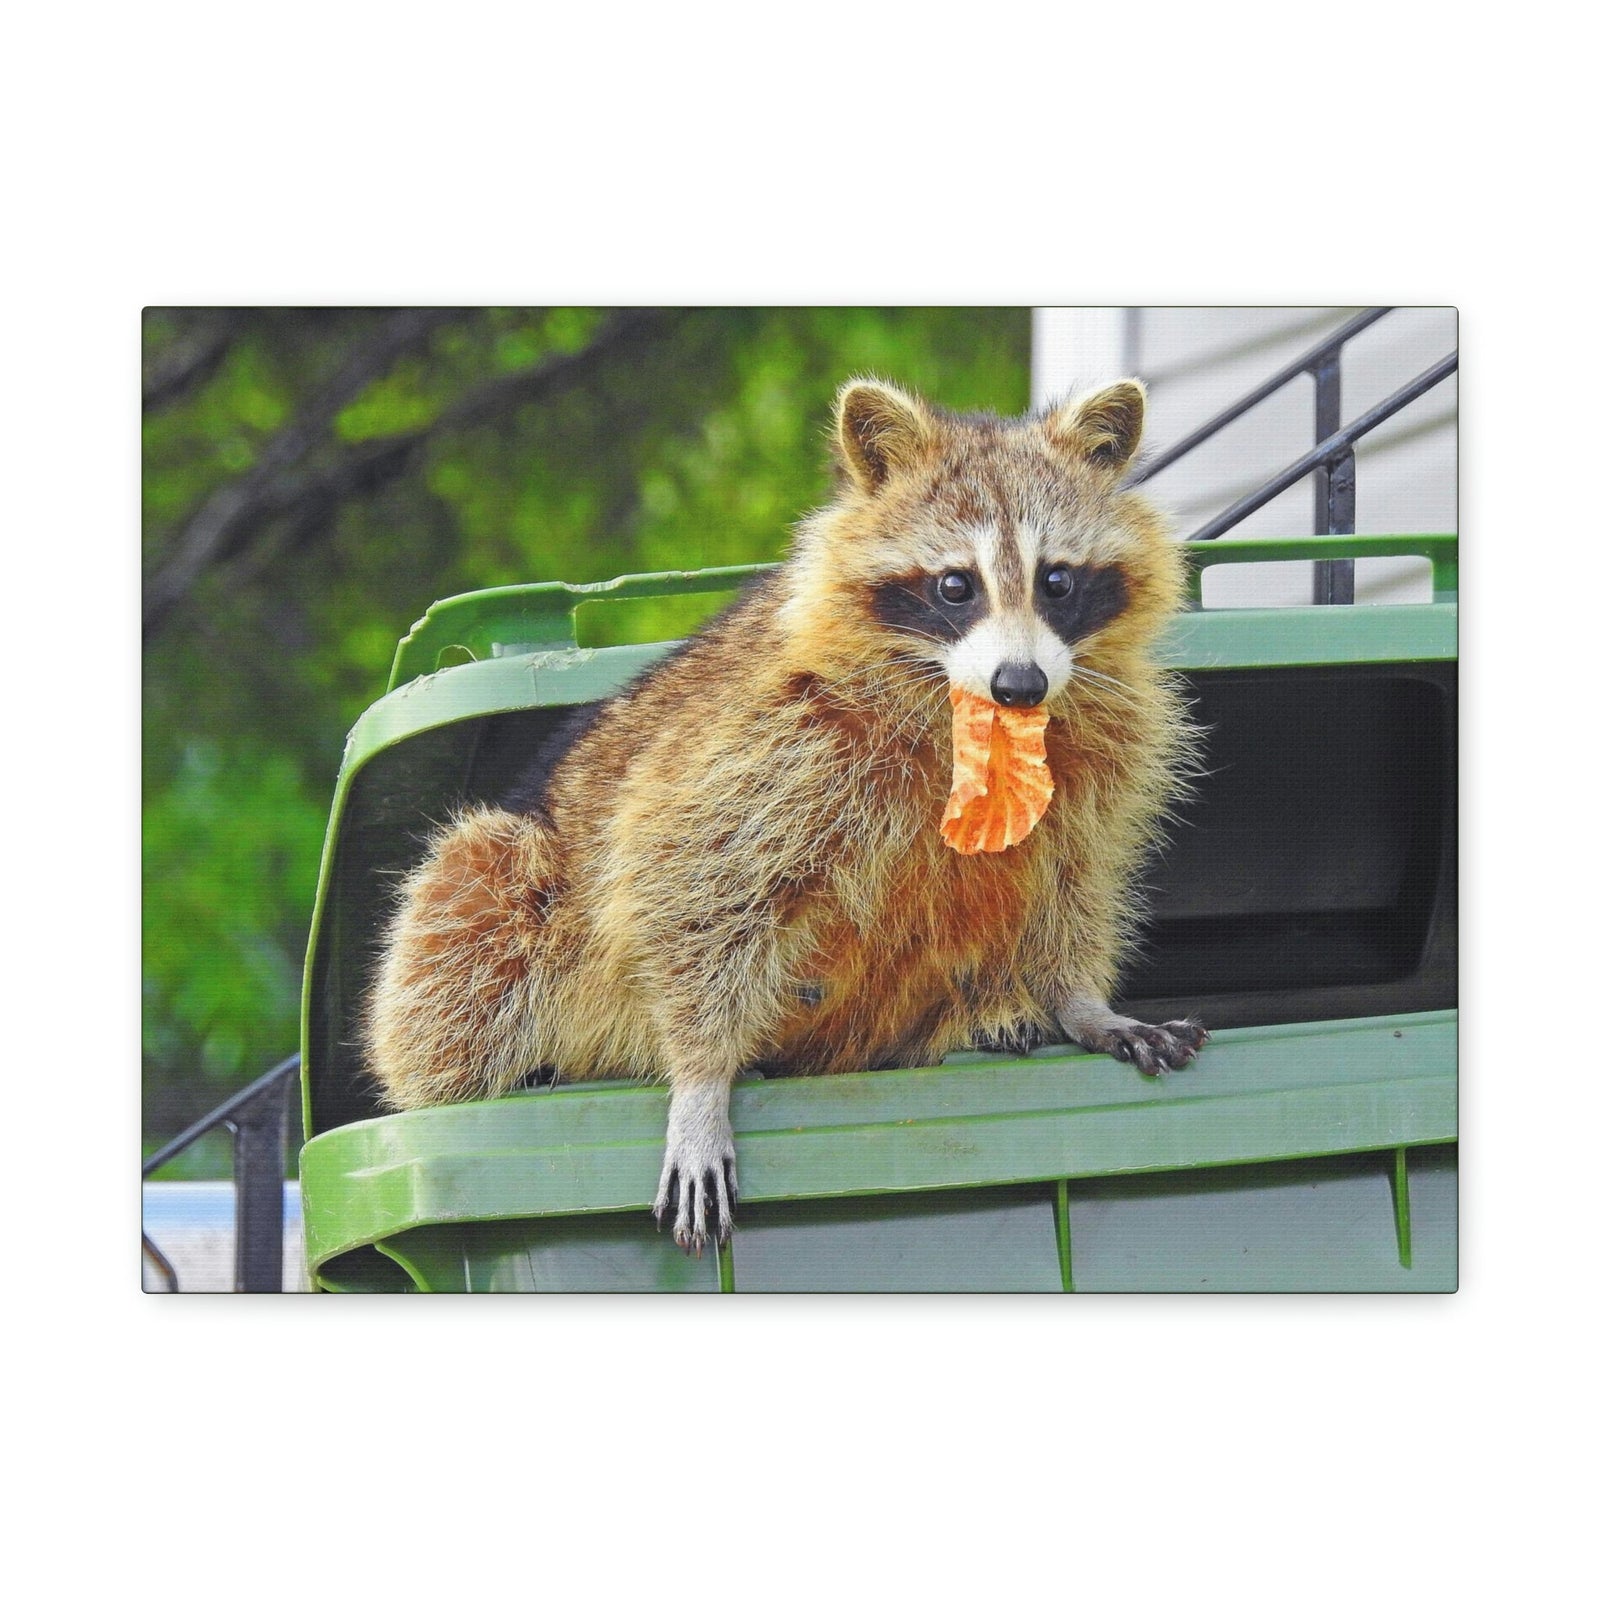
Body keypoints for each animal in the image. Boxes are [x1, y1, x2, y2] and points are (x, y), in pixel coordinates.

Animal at [366, 378, 1207, 1253]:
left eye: (1057, 581)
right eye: (956, 585)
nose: (1021, 684)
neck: (971, 713)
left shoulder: (1102, 749)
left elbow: (1073, 877)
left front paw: (1078, 1000)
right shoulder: (772, 735)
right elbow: (680, 872)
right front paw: (700, 1079)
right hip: (510, 888)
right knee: (471, 904)